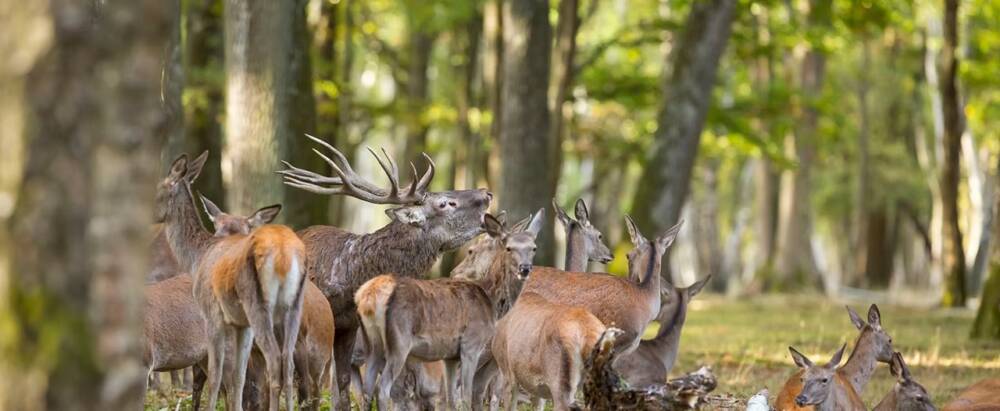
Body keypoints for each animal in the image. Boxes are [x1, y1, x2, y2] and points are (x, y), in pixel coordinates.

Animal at [155, 153, 306, 411]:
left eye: (156, 192)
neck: (197, 258)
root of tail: (284, 254)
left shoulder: (212, 314)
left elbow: (216, 377)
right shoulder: (242, 324)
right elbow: (239, 376)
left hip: (258, 304)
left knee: (274, 360)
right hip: (294, 306)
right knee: (288, 363)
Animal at [354, 210, 544, 411]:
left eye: (533, 248)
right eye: (509, 248)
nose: (525, 269)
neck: (489, 301)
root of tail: (368, 296)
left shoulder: (450, 356)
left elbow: (451, 399)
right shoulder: (471, 344)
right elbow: (466, 397)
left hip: (372, 343)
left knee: (366, 391)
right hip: (399, 342)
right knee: (382, 389)